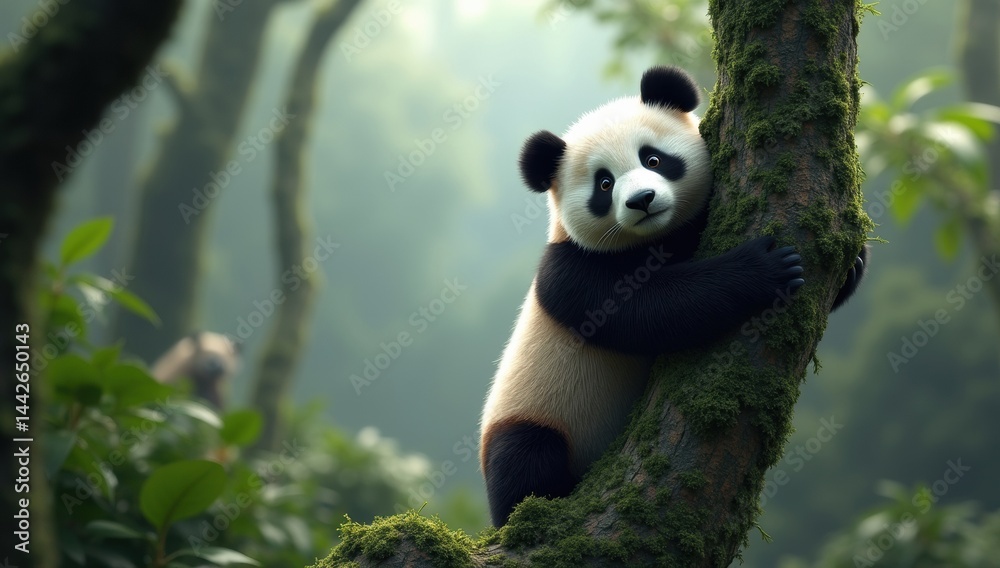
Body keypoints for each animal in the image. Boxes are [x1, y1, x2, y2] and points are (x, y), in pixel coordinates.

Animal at [479, 66, 867, 527]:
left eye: (653, 159)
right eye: (604, 183)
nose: (642, 200)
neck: (655, 237)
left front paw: (852, 263)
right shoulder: (570, 272)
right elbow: (645, 310)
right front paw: (763, 269)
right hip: (535, 413)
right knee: (525, 458)